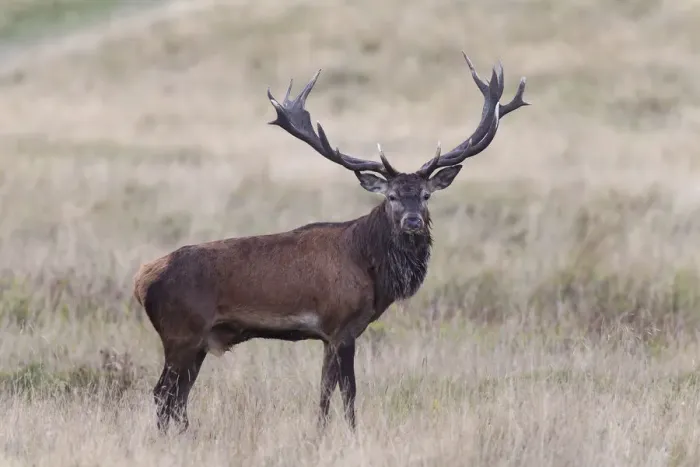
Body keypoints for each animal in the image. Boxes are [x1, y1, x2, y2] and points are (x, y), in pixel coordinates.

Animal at [132, 52, 529, 435]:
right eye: (392, 197)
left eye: (426, 195)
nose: (413, 222)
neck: (370, 269)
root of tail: (141, 279)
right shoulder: (342, 325)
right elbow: (349, 392)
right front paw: (352, 435)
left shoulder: (327, 335)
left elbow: (324, 391)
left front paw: (320, 434)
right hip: (182, 333)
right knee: (162, 394)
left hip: (196, 342)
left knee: (177, 398)